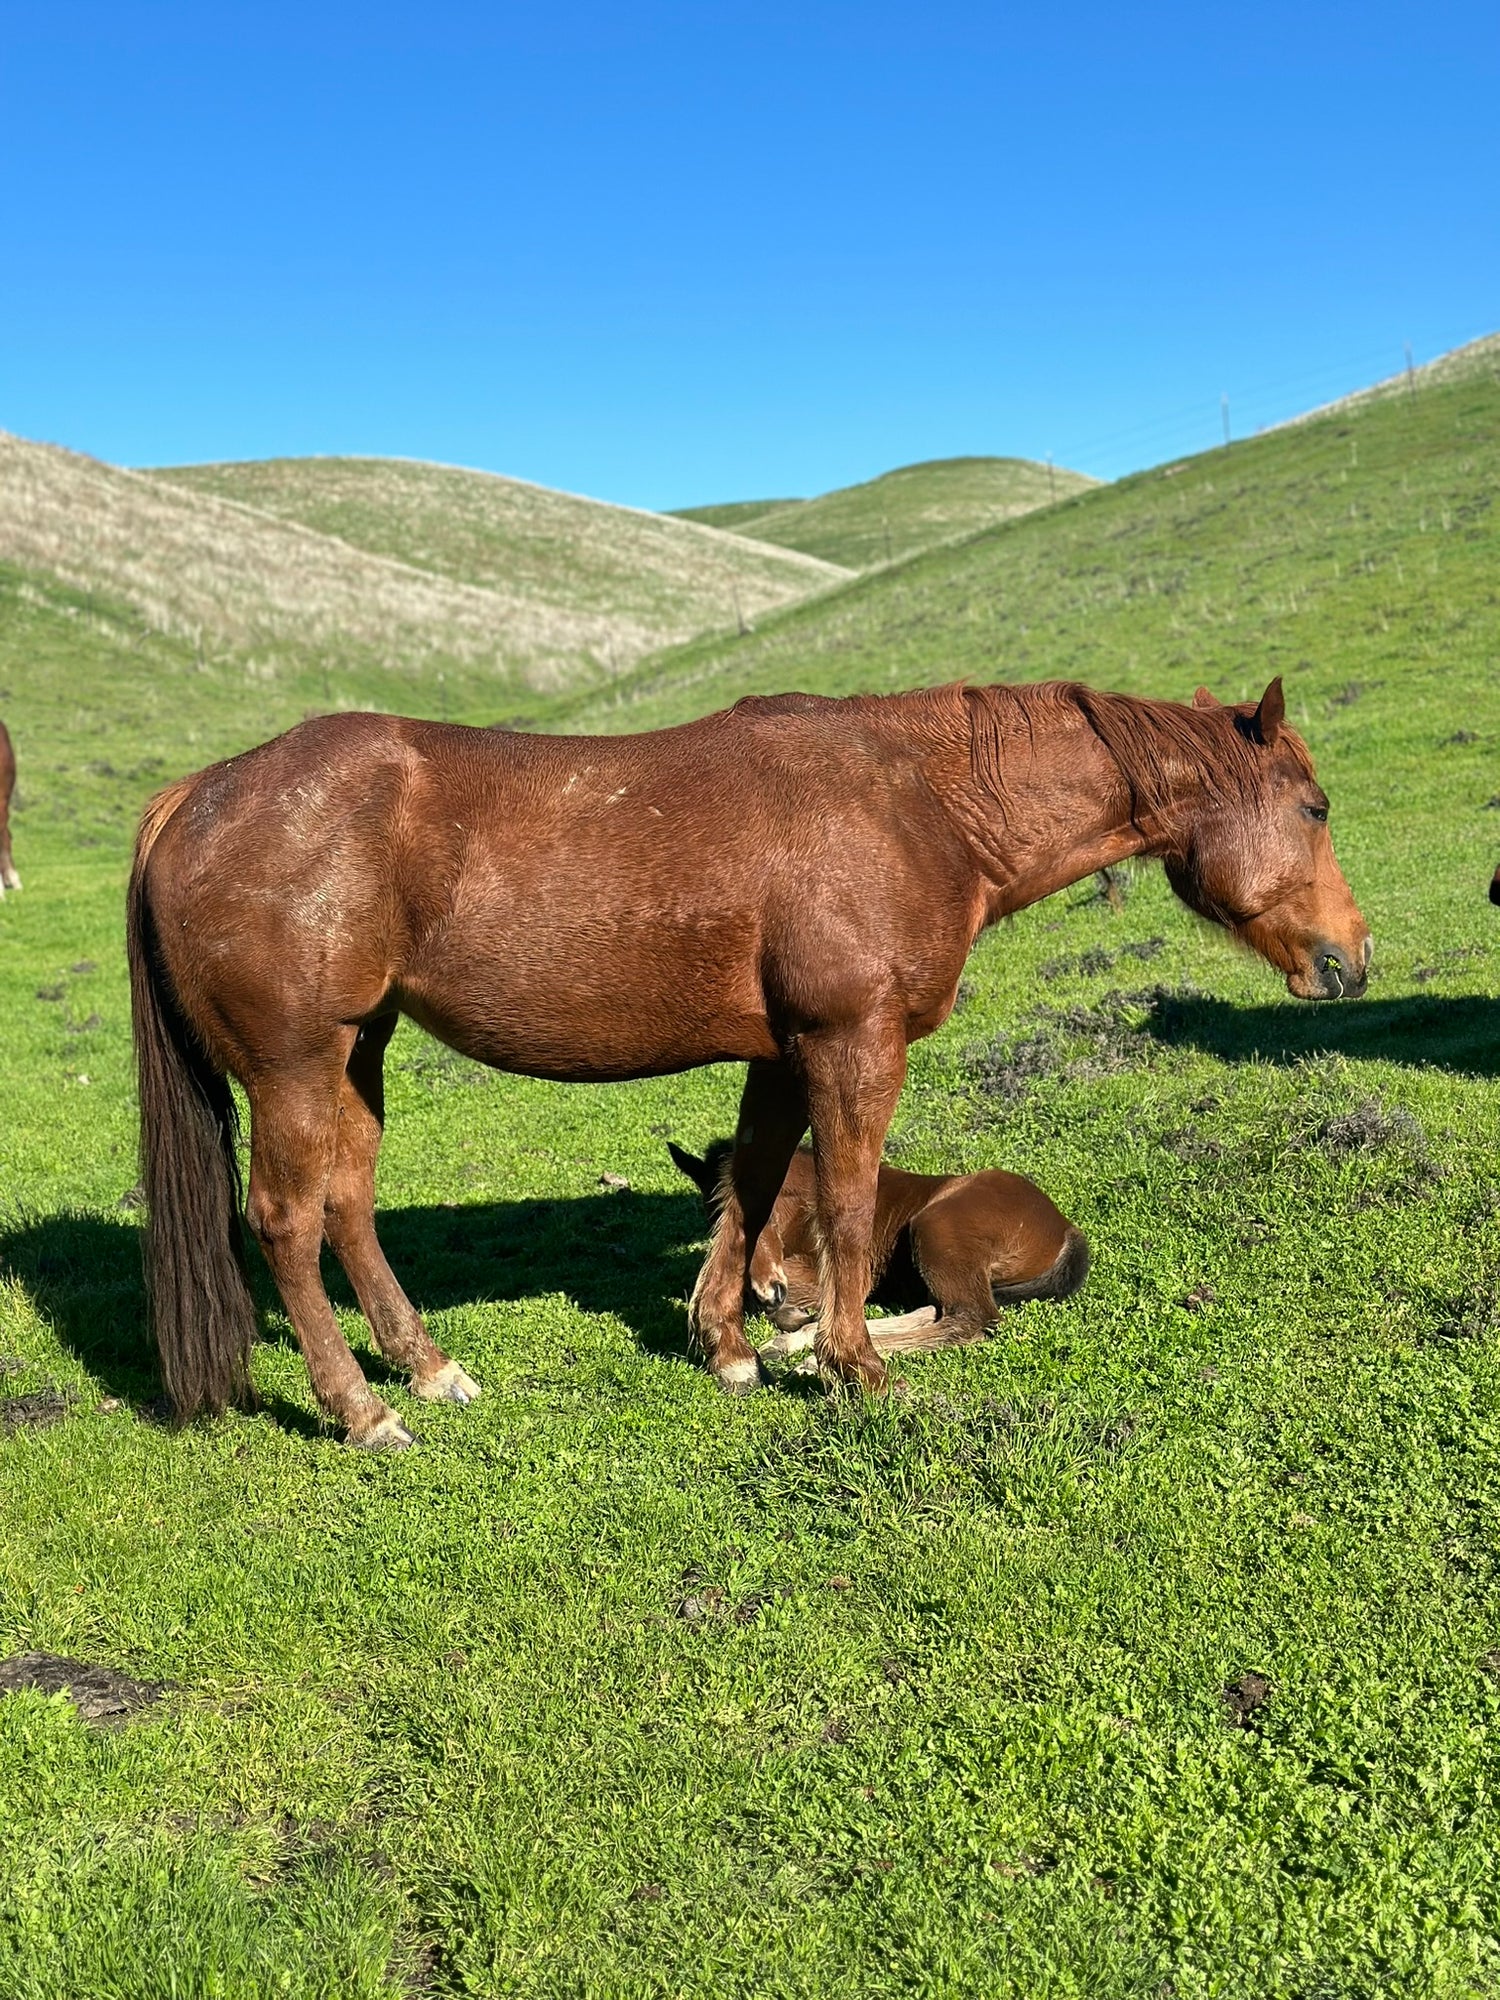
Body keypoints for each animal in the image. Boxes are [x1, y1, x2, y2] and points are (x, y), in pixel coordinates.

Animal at [676, 1136, 1088, 1368]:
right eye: (715, 1218)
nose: (768, 1293)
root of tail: (1066, 1227)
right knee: (935, 1309)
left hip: (934, 1227)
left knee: (971, 1319)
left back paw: (812, 1357)